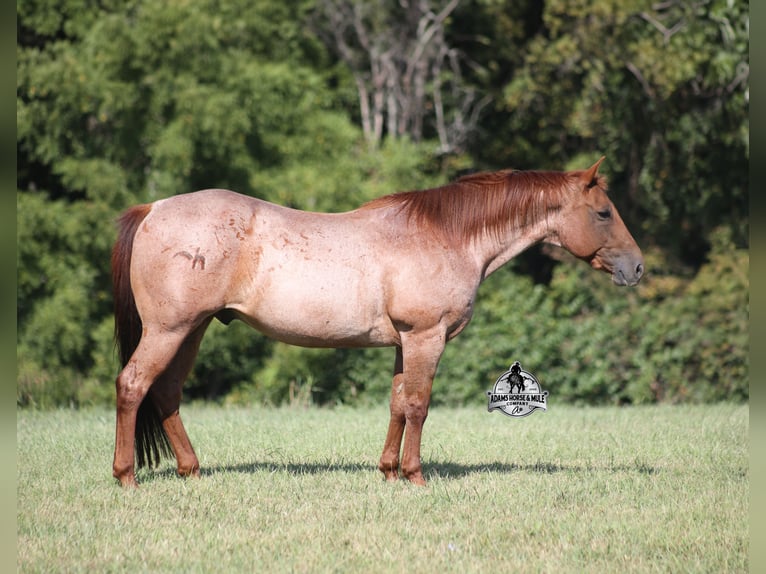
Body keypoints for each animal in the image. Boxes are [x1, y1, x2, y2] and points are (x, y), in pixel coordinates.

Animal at [111, 157, 643, 488]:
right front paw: (415, 475)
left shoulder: (403, 343)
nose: (637, 268)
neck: (446, 235)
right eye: (603, 212)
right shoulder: (426, 337)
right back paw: (126, 476)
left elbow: (397, 404)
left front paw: (388, 471)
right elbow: (419, 406)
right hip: (170, 331)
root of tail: (152, 208)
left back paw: (192, 471)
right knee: (133, 385)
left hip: (192, 330)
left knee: (167, 392)